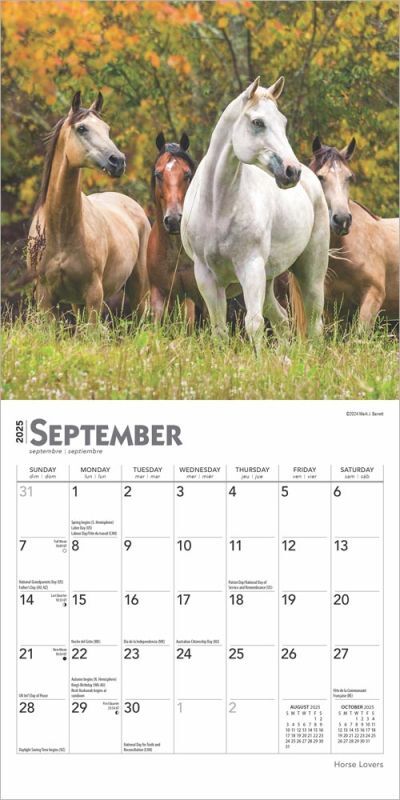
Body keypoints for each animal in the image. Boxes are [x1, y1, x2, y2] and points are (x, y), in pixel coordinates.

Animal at [27, 91, 150, 321]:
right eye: (82, 128)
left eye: (107, 129)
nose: (118, 161)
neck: (61, 230)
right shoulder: (46, 298)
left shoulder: (94, 295)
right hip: (78, 304)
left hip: (138, 285)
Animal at [180, 76, 330, 350]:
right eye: (258, 122)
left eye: (283, 122)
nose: (291, 171)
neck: (218, 206)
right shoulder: (206, 276)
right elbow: (219, 330)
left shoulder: (250, 267)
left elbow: (254, 324)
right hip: (268, 281)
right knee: (282, 321)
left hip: (310, 273)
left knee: (314, 323)